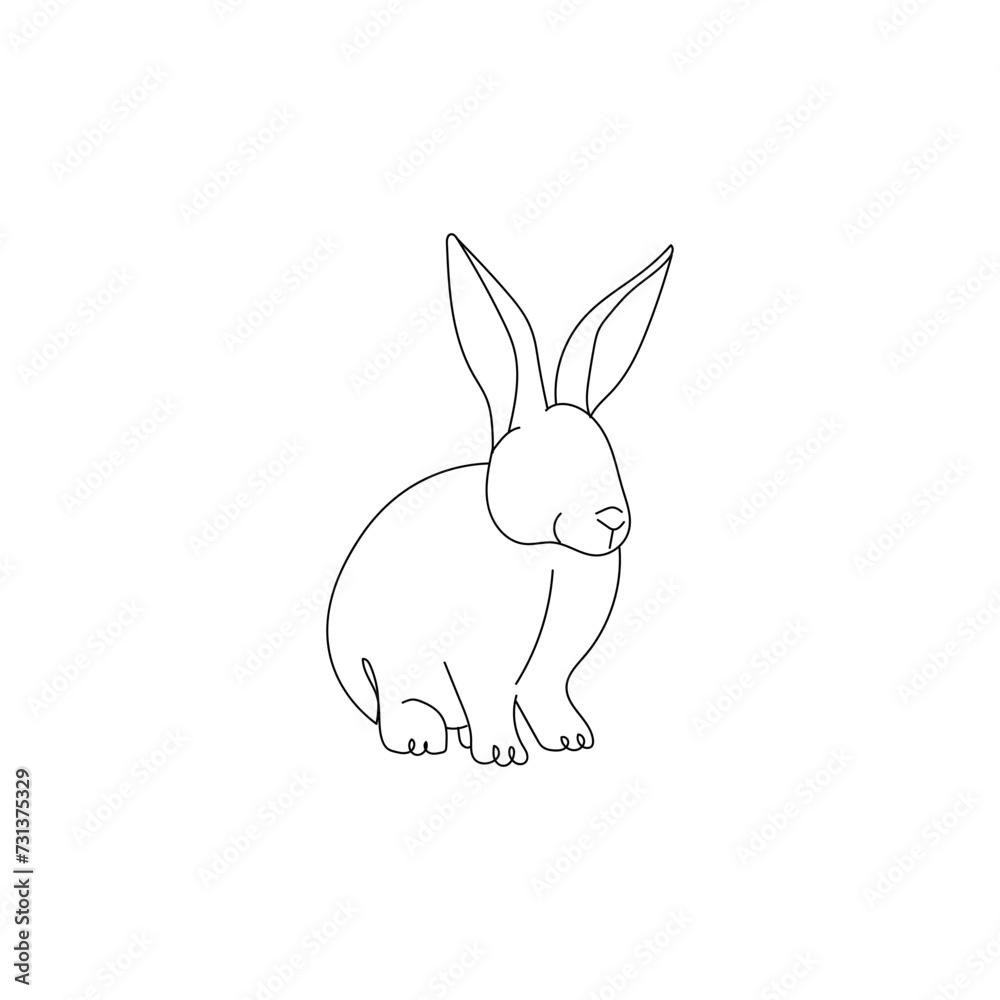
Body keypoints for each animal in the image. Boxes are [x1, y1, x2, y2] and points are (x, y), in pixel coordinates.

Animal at [326, 234, 673, 765]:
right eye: (544, 465)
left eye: (610, 459)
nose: (613, 519)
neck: (548, 551)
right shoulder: (482, 654)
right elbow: (488, 692)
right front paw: (503, 753)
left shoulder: (554, 664)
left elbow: (547, 694)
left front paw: (572, 740)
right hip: (388, 666)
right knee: (400, 702)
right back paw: (421, 737)